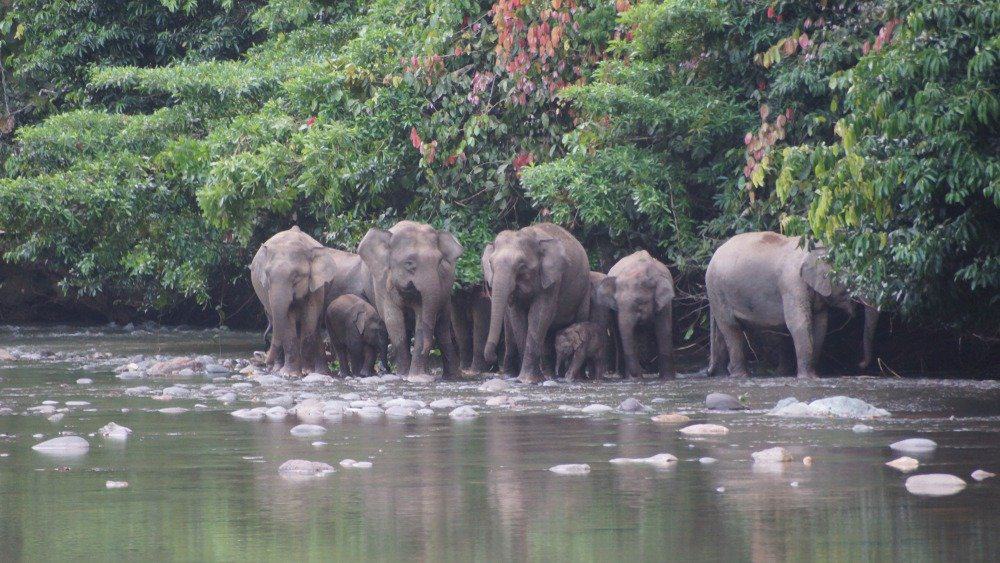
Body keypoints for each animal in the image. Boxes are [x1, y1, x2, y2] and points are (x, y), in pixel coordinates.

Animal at [358, 219, 462, 378]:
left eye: (439, 262)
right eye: (408, 263)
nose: (386, 369)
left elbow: (421, 318)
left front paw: (416, 376)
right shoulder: (382, 283)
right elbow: (393, 321)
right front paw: (403, 374)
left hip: (446, 294)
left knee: (442, 329)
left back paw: (451, 377)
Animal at [480, 223, 588, 386]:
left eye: (521, 265)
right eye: (491, 263)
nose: (492, 359)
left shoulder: (552, 280)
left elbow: (539, 314)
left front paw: (528, 380)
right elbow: (517, 316)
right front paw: (526, 379)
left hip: (583, 293)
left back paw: (574, 378)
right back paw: (548, 376)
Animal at [596, 252, 676, 382]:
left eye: (639, 302)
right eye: (616, 303)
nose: (637, 374)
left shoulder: (665, 304)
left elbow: (663, 331)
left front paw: (668, 379)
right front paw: (634, 378)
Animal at [700, 229, 880, 378]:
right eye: (853, 279)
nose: (860, 364)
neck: (817, 248)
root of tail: (713, 256)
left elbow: (820, 326)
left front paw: (813, 376)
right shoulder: (791, 283)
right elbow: (798, 323)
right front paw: (807, 378)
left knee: (726, 334)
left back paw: (723, 375)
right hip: (718, 292)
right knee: (732, 329)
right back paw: (739, 376)